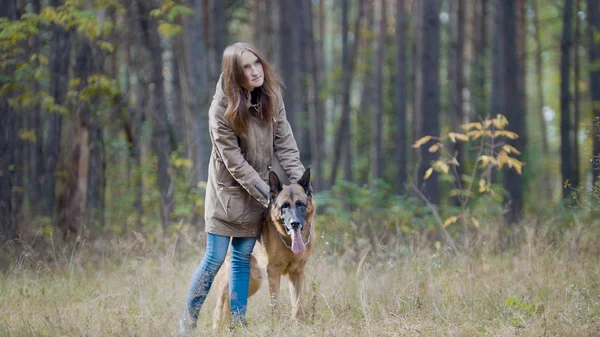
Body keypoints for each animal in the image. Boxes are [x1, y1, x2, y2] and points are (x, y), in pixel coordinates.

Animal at [211, 168, 316, 328]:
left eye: (300, 204)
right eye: (284, 206)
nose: (295, 224)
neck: (288, 242)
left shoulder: (297, 273)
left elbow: (297, 306)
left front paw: (297, 325)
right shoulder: (273, 273)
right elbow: (276, 306)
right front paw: (277, 327)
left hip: (253, 282)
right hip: (228, 282)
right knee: (218, 311)